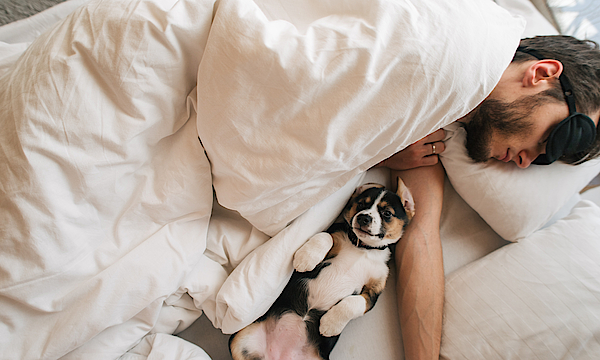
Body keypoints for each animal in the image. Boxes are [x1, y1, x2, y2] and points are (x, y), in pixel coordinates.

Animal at [231, 178, 418, 360]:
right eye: (360, 204)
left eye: (387, 213)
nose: (363, 218)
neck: (363, 248)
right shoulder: (334, 232)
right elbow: (325, 235)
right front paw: (306, 258)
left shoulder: (374, 291)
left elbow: (353, 303)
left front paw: (330, 324)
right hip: (239, 340)